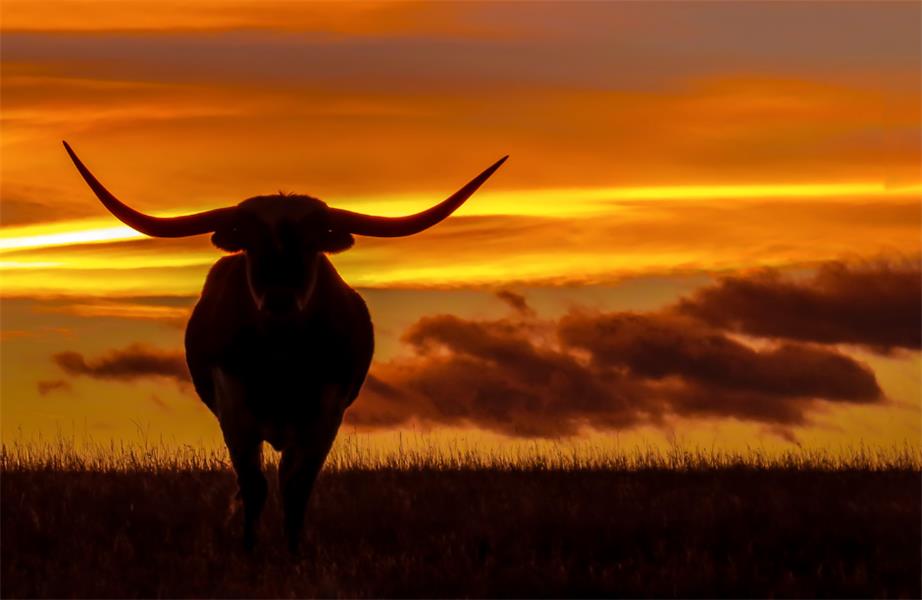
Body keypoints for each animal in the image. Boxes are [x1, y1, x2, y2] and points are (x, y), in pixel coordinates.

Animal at [63, 141, 507, 553]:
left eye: (311, 244)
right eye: (251, 243)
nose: (279, 299)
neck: (281, 357)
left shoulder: (326, 411)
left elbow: (298, 485)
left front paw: (294, 551)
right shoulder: (234, 405)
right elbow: (253, 484)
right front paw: (249, 549)